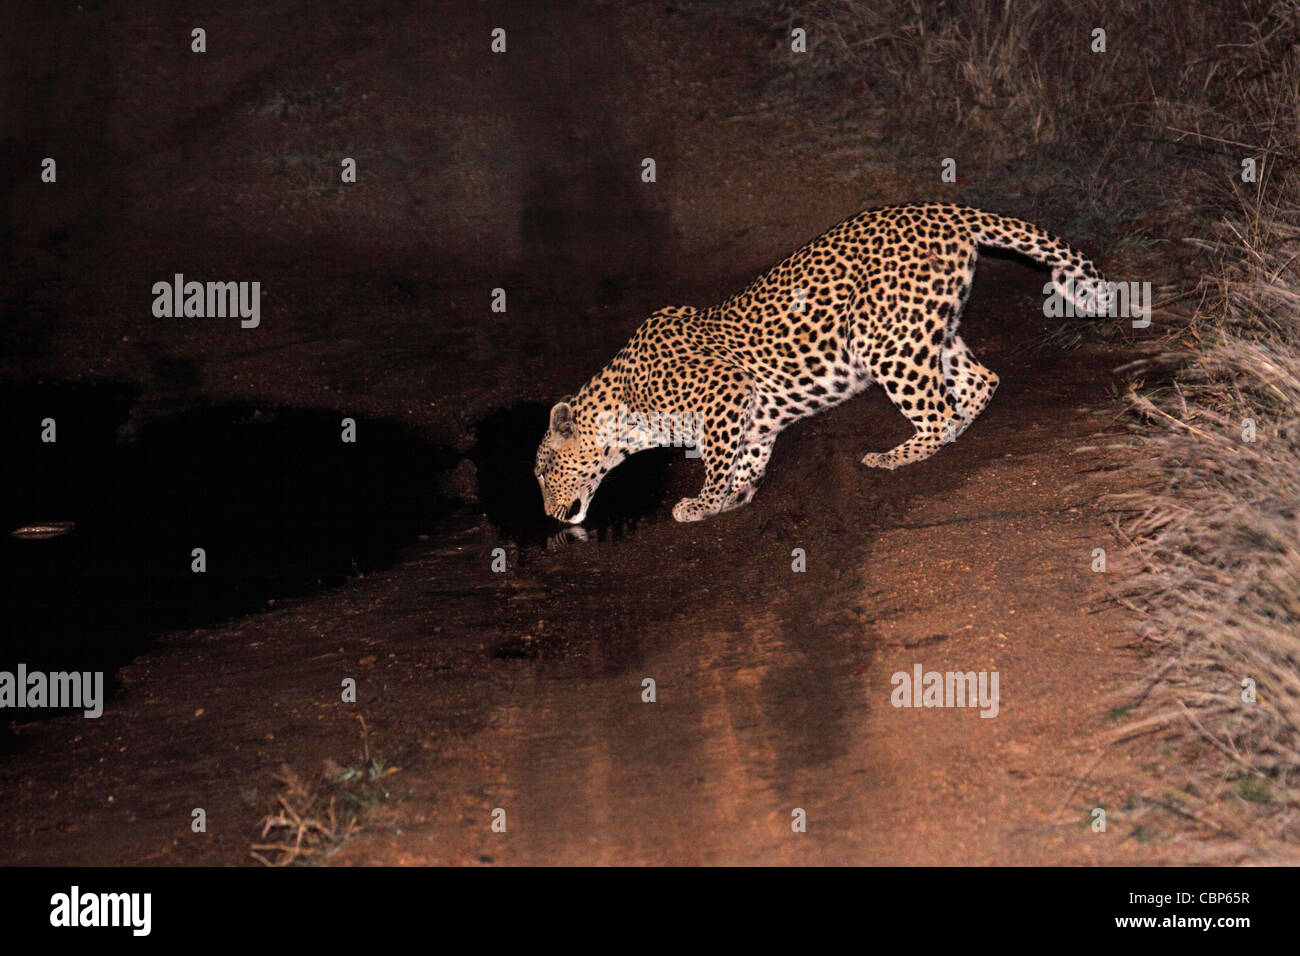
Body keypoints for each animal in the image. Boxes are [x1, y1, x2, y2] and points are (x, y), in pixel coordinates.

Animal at [530, 201, 1107, 522]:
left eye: (542, 473)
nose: (550, 517)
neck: (625, 410)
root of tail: (944, 209)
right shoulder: (754, 419)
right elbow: (746, 459)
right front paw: (735, 496)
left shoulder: (724, 392)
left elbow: (717, 461)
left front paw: (701, 502)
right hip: (927, 329)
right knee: (979, 381)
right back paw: (957, 429)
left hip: (882, 339)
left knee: (939, 411)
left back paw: (894, 456)